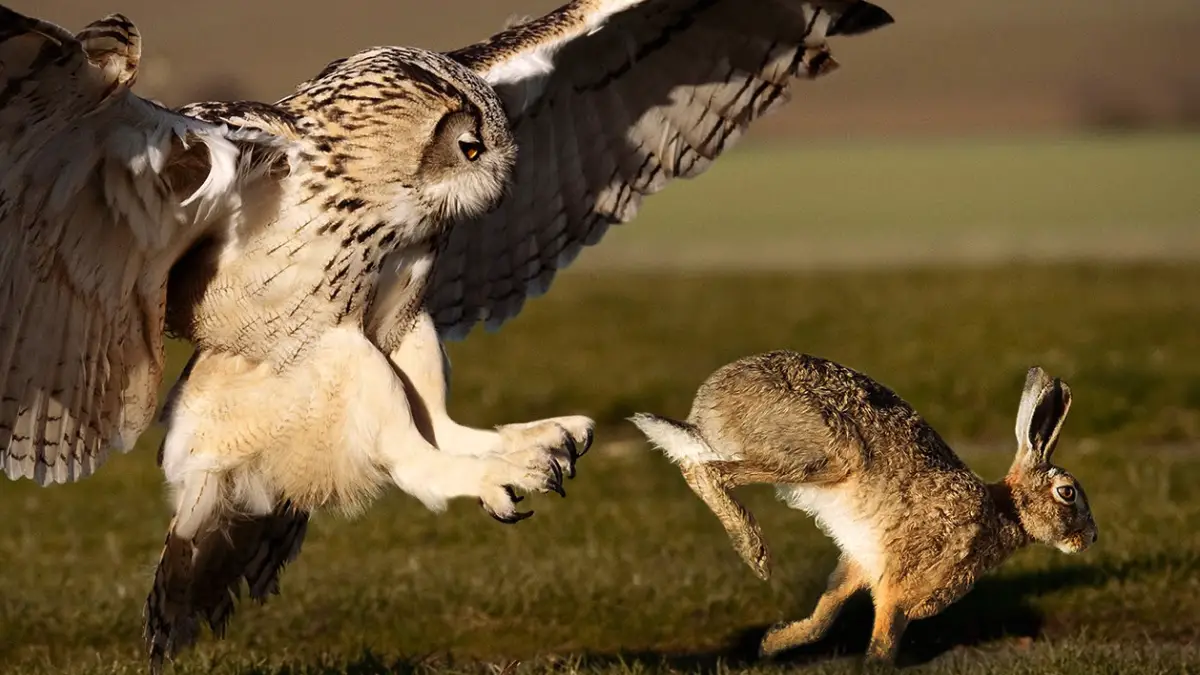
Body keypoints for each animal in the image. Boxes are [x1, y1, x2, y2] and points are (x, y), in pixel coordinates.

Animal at [630, 351, 1097, 664]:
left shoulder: (860, 560)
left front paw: (770, 643)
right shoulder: (903, 583)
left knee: (693, 465)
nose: (1091, 539)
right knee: (710, 473)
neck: (1006, 512)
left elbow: (824, 615)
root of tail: (709, 402)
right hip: (828, 454)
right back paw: (755, 552)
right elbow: (884, 642)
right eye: (1067, 493)